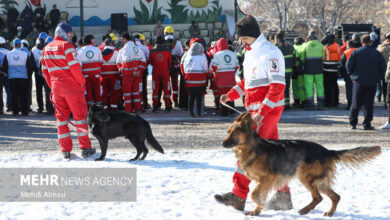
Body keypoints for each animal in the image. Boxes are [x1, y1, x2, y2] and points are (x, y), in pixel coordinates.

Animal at [222, 112, 380, 216]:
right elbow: (258, 195)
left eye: (233, 133)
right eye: (227, 132)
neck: (252, 147)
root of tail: (327, 151)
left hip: (305, 177)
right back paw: (329, 212)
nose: (222, 144)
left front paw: (262, 205)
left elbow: (254, 195)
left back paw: (305, 210)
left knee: (318, 197)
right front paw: (256, 211)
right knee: (335, 197)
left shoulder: (268, 178)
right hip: (319, 182)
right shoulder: (263, 182)